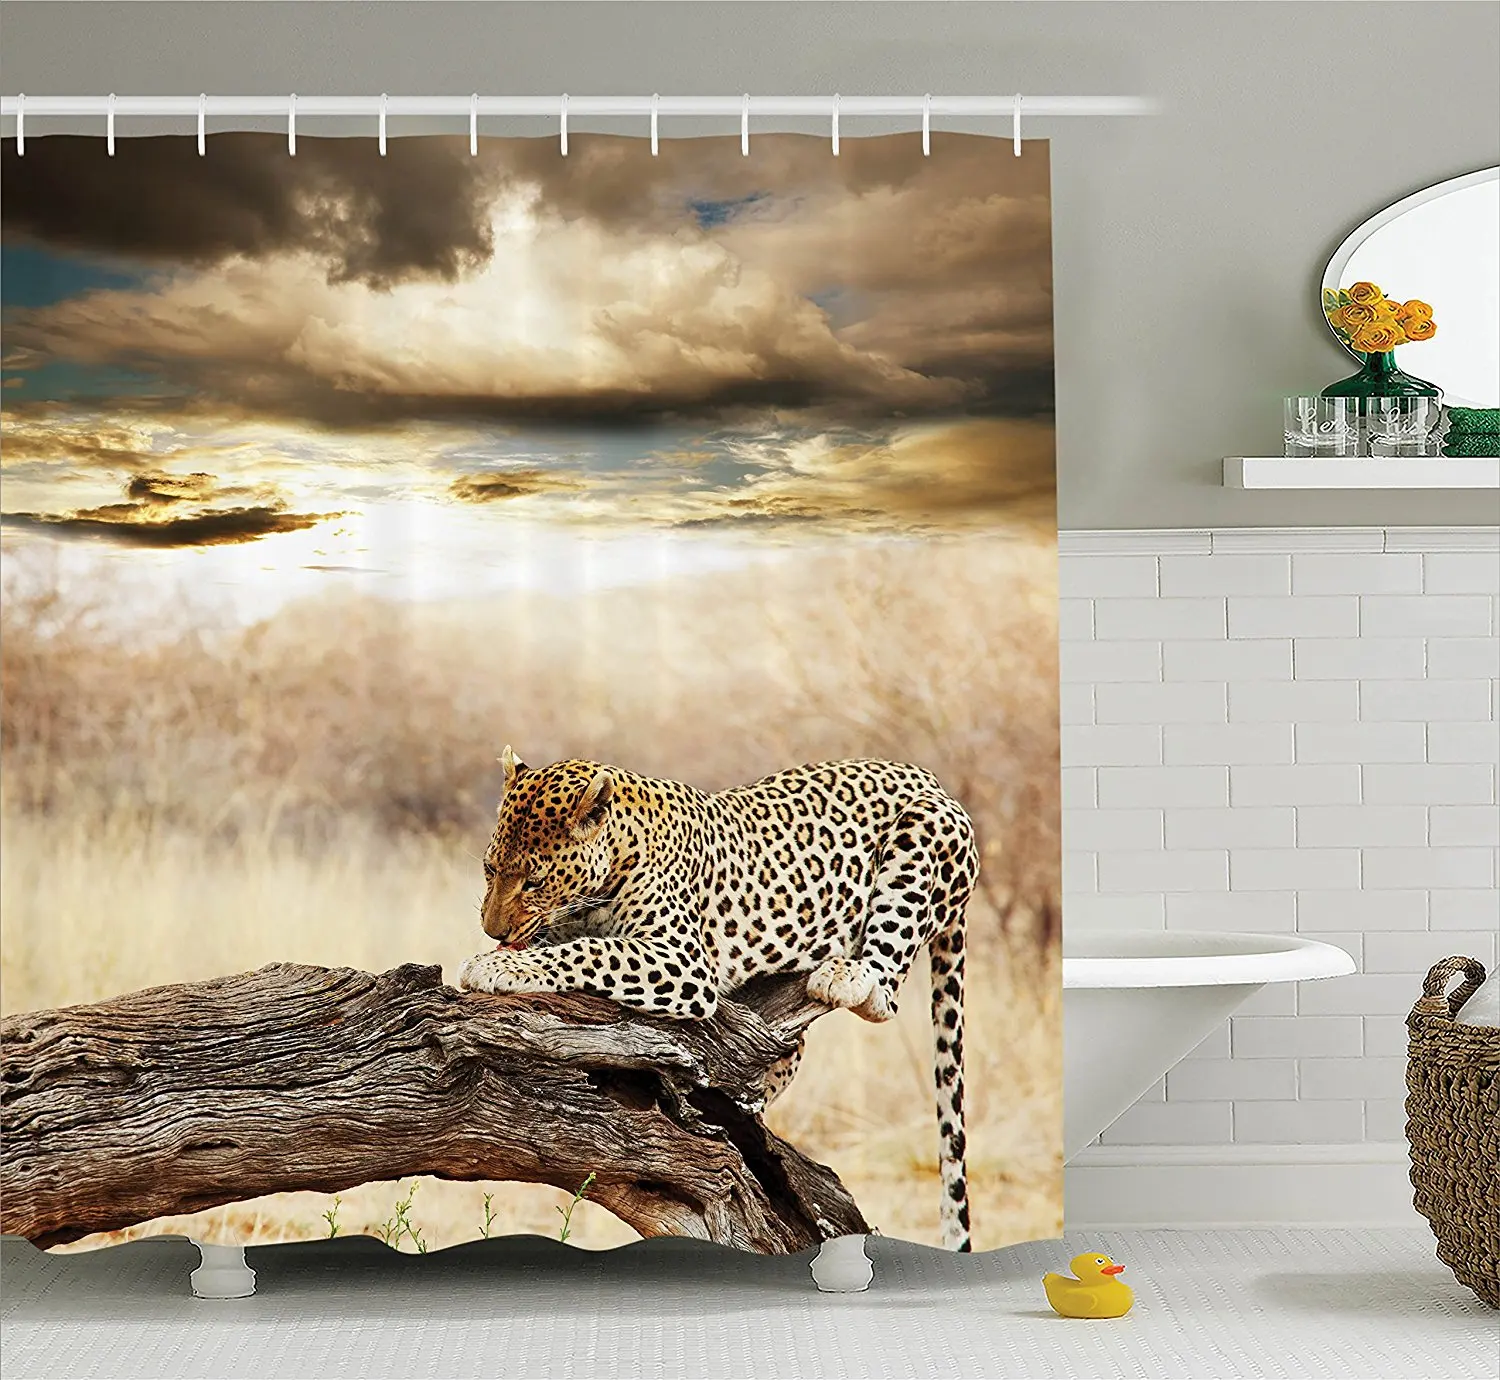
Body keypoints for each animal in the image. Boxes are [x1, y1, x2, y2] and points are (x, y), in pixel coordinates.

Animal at [457, 747, 980, 1251]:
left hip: (922, 837)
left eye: (534, 881)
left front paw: (496, 967)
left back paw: (845, 975)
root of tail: (929, 778)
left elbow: (591, 951)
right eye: (489, 868)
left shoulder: (681, 959)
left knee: (884, 991)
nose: (492, 930)